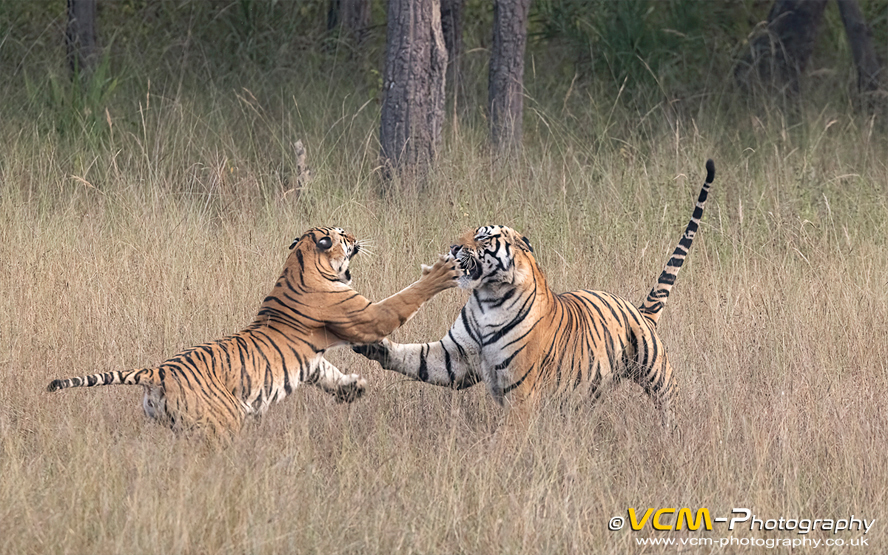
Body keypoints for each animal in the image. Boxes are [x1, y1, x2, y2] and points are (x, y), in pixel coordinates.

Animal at [47, 226, 462, 438]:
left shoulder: (312, 359)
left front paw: (352, 388)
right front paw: (442, 273)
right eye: (342, 234)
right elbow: (406, 297)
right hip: (222, 424)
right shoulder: (369, 315)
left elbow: (327, 372)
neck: (299, 262)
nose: (357, 236)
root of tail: (157, 371)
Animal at [354, 161, 716, 430]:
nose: (454, 247)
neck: (487, 298)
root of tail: (641, 310)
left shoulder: (520, 393)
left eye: (482, 237)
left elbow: (506, 440)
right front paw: (371, 345)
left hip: (657, 373)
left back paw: (671, 438)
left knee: (669, 406)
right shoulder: (454, 357)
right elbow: (414, 357)